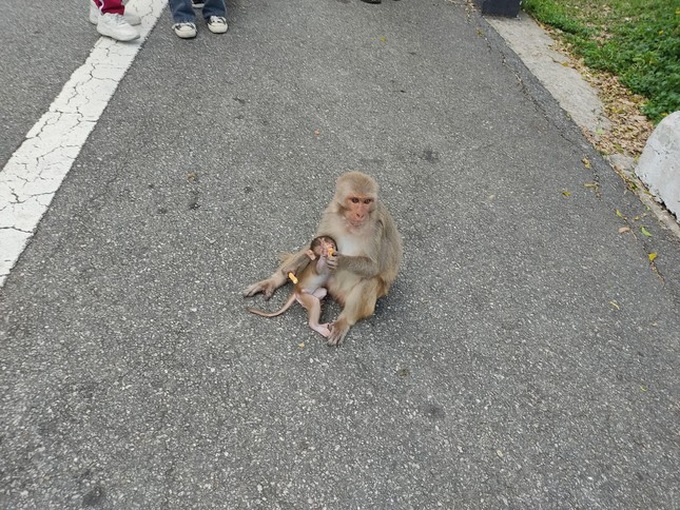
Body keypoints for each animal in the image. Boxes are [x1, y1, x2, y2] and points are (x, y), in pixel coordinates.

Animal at [244, 171, 402, 346]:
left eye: (367, 201)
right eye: (355, 200)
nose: (360, 214)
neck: (351, 224)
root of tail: (335, 291)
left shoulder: (377, 229)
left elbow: (374, 267)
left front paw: (340, 260)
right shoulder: (331, 215)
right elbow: (313, 244)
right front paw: (279, 276)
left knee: (371, 280)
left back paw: (343, 321)